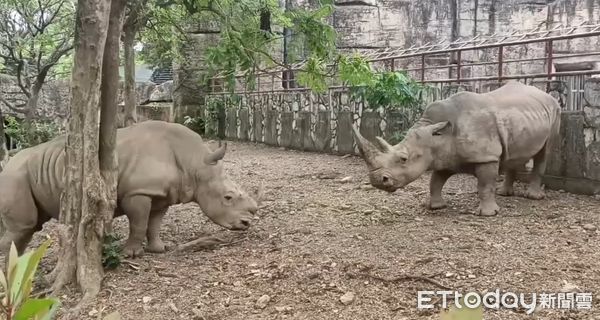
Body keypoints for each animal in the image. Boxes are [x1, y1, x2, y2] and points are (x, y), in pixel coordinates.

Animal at [0, 120, 262, 258]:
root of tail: (6, 165)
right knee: (23, 227)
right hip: (15, 177)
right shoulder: (139, 192)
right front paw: (131, 254)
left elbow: (154, 224)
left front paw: (159, 249)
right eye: (228, 197)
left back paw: (19, 265)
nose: (246, 224)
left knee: (28, 228)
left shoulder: (161, 194)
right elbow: (138, 223)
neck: (194, 164)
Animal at [352, 80, 564, 216]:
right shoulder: (444, 156)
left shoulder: (486, 156)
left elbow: (484, 185)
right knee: (513, 153)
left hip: (555, 111)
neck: (437, 137)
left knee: (544, 153)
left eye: (403, 159)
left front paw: (487, 214)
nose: (376, 181)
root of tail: (545, 94)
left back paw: (533, 197)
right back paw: (504, 193)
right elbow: (435, 181)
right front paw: (435, 206)